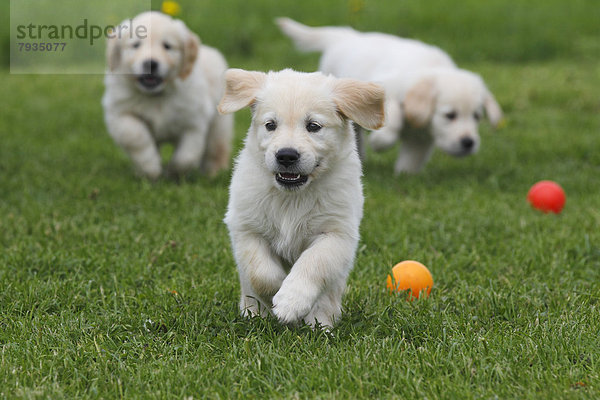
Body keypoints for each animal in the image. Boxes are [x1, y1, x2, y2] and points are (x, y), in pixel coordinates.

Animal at [101, 11, 232, 180]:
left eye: (167, 46)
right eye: (136, 45)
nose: (150, 63)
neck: (157, 95)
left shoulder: (194, 121)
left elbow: (187, 155)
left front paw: (174, 172)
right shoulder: (120, 114)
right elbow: (137, 137)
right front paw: (150, 169)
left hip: (219, 124)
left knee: (216, 148)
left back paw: (214, 173)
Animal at [219, 69, 384, 330]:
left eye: (313, 126)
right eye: (270, 125)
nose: (286, 155)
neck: (292, 196)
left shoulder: (336, 234)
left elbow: (313, 263)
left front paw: (290, 302)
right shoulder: (246, 228)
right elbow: (261, 273)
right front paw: (275, 295)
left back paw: (320, 323)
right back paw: (254, 313)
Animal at [278, 17, 504, 173]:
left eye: (477, 116)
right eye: (450, 115)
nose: (468, 143)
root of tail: (348, 37)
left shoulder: (421, 141)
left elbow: (411, 160)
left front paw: (404, 176)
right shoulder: (383, 89)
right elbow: (392, 116)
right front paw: (381, 141)